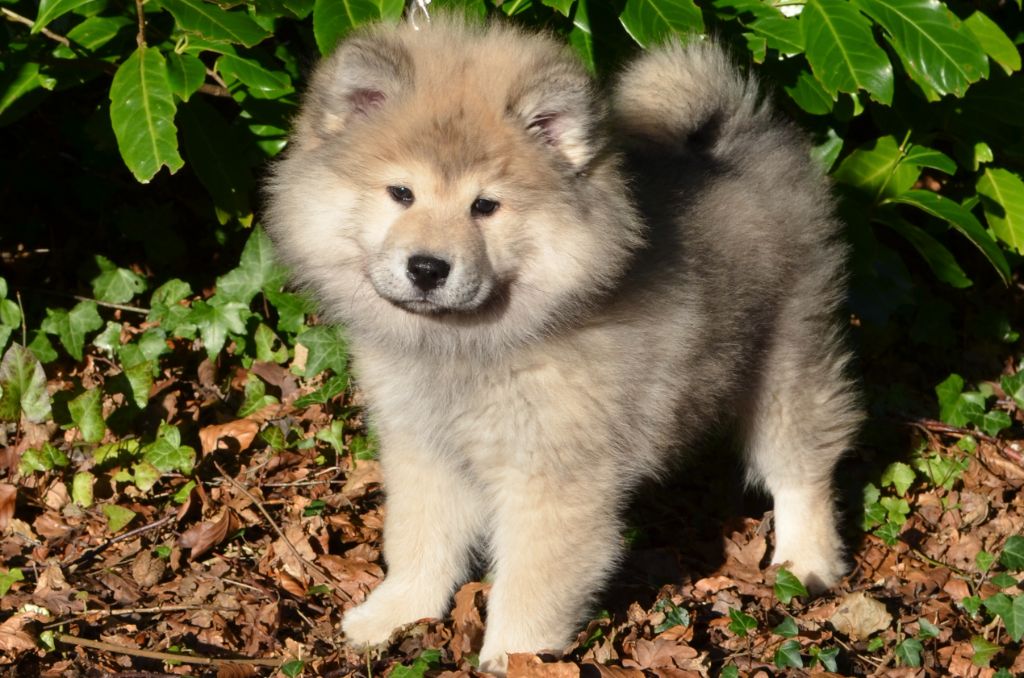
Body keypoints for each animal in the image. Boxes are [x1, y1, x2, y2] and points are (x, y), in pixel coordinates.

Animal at [265, 14, 861, 672]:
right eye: (401, 193)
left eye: (485, 206)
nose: (427, 267)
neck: (469, 348)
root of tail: (742, 134)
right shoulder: (425, 449)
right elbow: (421, 540)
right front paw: (396, 612)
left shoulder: (553, 477)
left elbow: (529, 583)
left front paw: (513, 656)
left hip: (788, 364)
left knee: (804, 465)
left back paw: (807, 561)